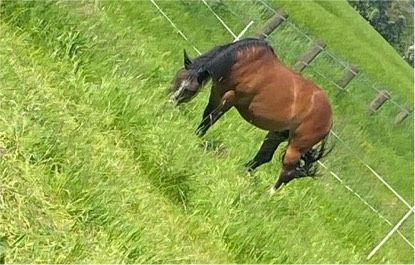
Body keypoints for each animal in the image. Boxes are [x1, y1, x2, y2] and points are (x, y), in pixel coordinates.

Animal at [171, 37, 334, 192]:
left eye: (190, 89)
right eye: (177, 79)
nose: (170, 103)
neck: (245, 63)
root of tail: (330, 120)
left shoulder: (231, 97)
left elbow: (211, 119)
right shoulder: (217, 91)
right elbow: (207, 115)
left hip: (296, 146)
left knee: (287, 172)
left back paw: (268, 194)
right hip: (278, 134)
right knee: (264, 157)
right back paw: (241, 172)